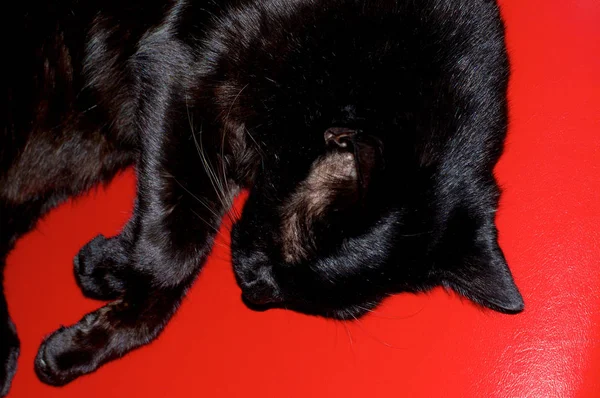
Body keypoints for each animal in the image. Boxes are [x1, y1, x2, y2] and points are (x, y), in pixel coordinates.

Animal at [0, 0, 524, 394]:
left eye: (320, 306)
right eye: (282, 247)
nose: (253, 294)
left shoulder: (207, 149)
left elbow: (179, 252)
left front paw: (84, 339)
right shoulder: (183, 70)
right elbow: (174, 249)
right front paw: (107, 267)